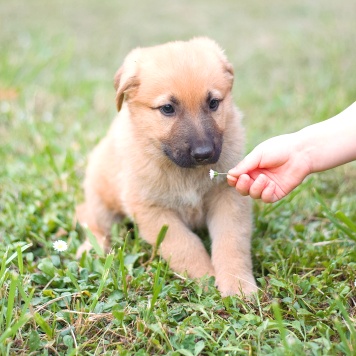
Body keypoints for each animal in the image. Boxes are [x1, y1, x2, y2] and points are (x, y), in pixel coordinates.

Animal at [76, 37, 258, 296]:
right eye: (168, 108)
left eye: (213, 103)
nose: (203, 154)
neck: (184, 173)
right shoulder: (152, 210)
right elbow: (185, 245)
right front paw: (206, 278)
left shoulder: (227, 196)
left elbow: (231, 242)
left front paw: (238, 285)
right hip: (101, 201)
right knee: (92, 221)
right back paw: (90, 249)